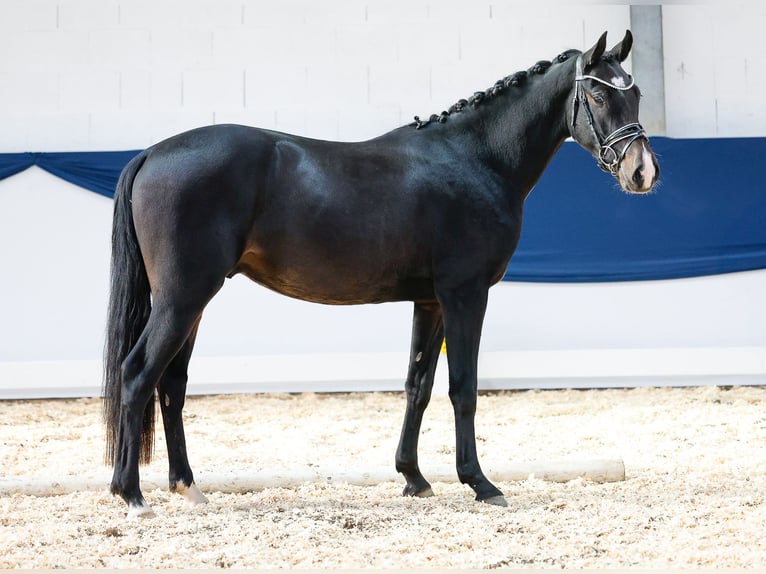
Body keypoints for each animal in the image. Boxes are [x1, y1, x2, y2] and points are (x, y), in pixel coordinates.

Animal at [103, 29, 660, 520]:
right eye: (596, 93)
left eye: (634, 93)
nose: (643, 172)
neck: (475, 159)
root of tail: (152, 153)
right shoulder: (465, 295)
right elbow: (463, 387)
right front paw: (480, 484)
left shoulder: (430, 301)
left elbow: (418, 385)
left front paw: (414, 478)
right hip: (183, 298)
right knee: (137, 374)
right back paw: (132, 495)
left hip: (192, 302)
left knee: (172, 384)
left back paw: (187, 488)